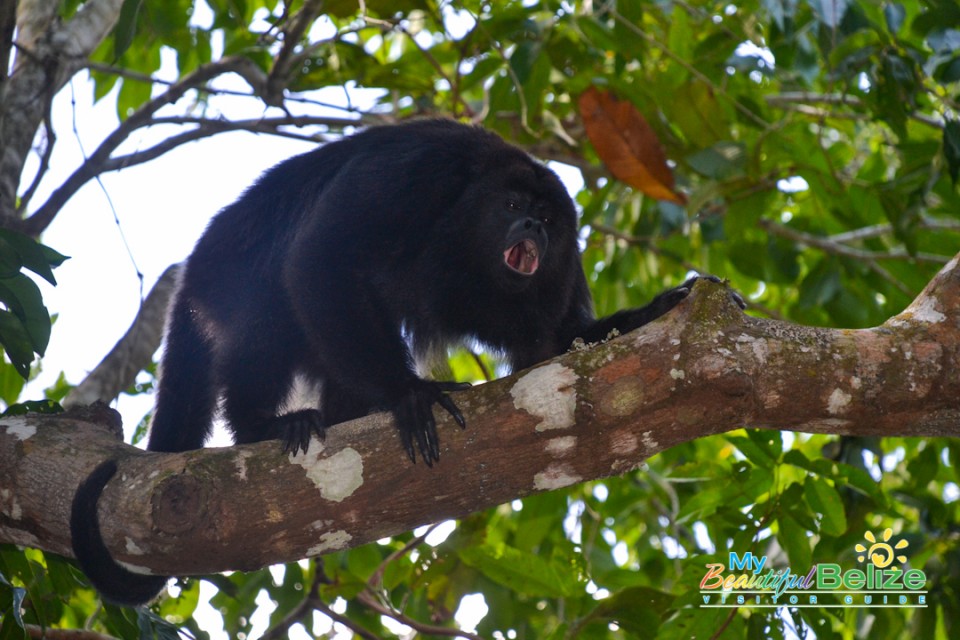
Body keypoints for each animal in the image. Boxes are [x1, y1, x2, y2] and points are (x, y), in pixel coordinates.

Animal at [71, 119, 716, 604]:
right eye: (513, 204)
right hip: (225, 283)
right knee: (272, 300)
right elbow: (320, 256)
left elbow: (558, 343)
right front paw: (410, 393)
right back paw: (263, 423)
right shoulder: (418, 173)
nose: (533, 224)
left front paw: (656, 310)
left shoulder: (562, 266)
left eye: (550, 219)